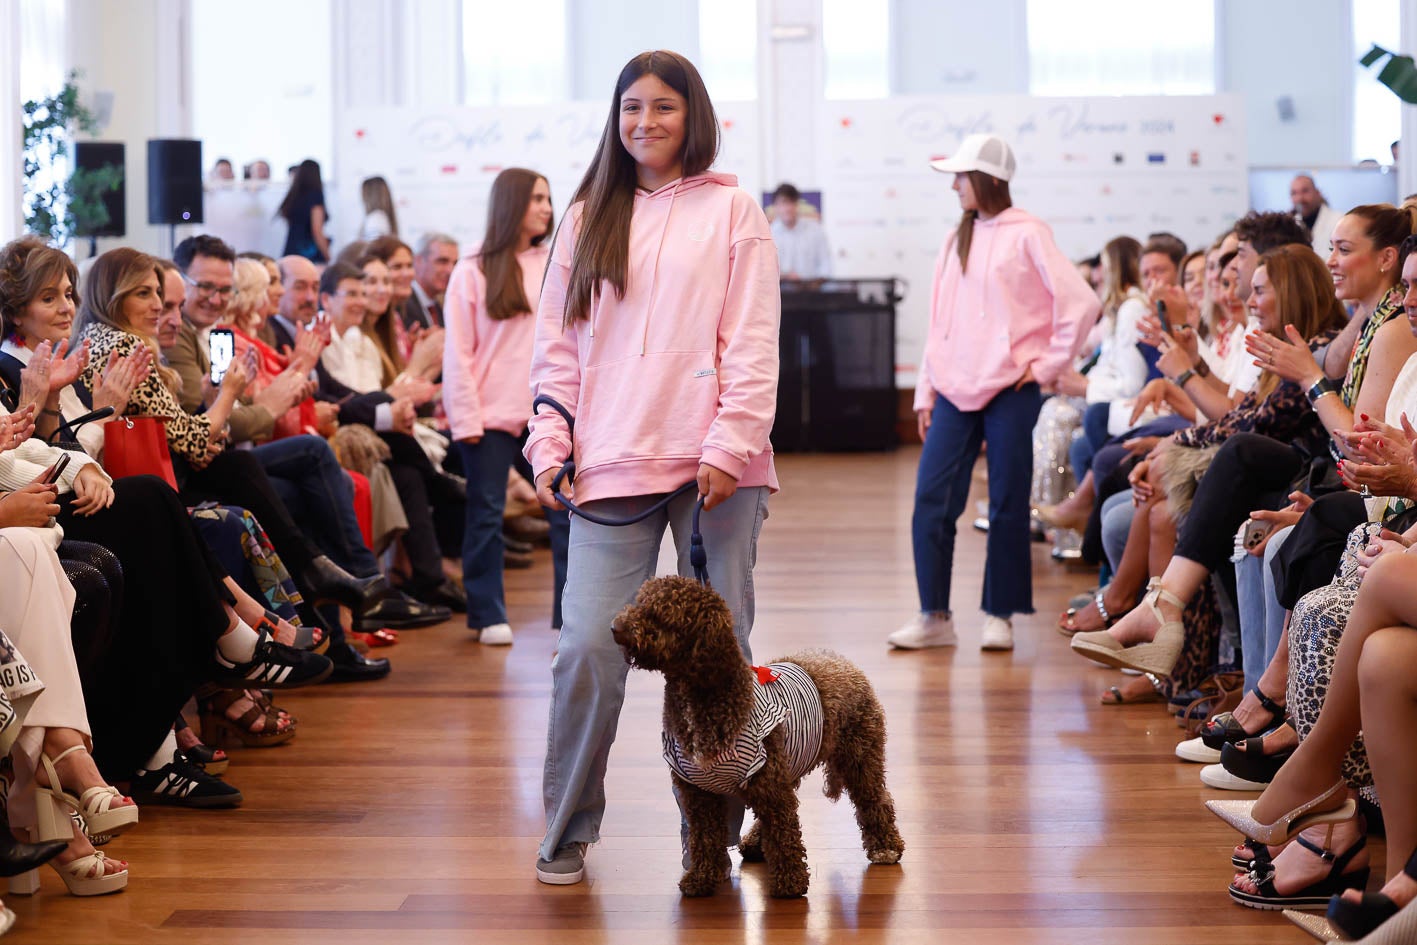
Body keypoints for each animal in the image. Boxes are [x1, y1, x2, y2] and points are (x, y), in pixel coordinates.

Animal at [612, 572, 906, 901]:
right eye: (640, 602)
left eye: (661, 614)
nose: (616, 627)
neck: (711, 694)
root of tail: (840, 661)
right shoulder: (697, 791)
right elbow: (704, 837)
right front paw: (701, 877)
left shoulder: (769, 783)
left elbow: (784, 831)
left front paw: (790, 882)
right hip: (791, 764)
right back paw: (755, 842)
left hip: (859, 757)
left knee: (875, 799)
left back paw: (885, 846)